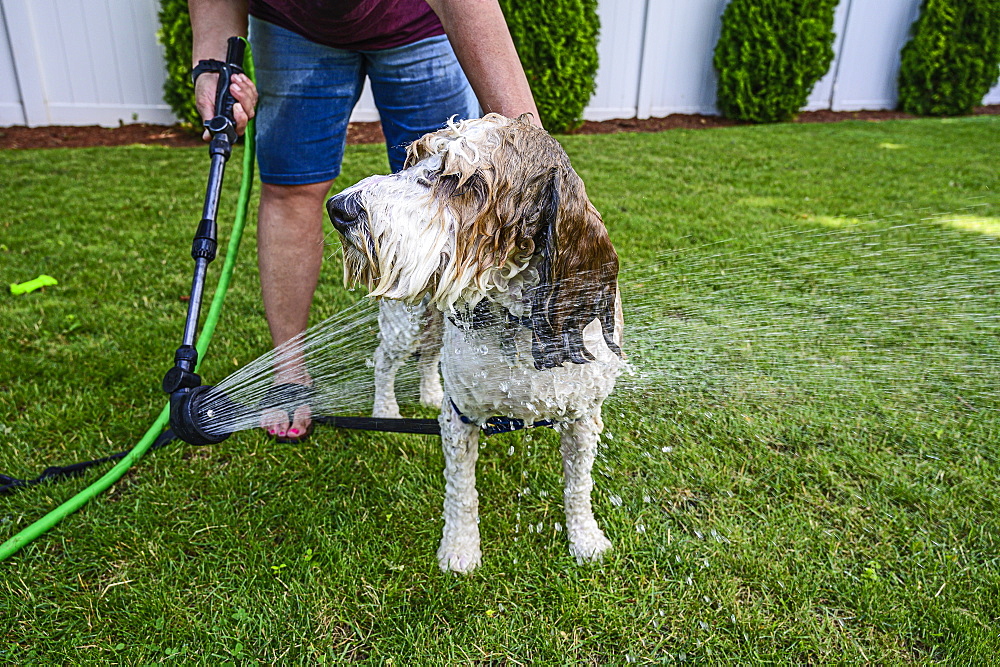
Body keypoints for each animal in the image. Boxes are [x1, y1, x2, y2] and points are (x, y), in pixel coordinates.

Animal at [328, 115, 624, 576]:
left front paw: (585, 540)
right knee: (384, 362)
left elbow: (578, 485)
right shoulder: (462, 417)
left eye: (462, 180)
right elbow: (461, 492)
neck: (516, 319)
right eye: (413, 159)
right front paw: (460, 550)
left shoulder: (582, 416)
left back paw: (430, 393)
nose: (340, 208)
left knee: (430, 356)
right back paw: (385, 410)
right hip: (406, 324)